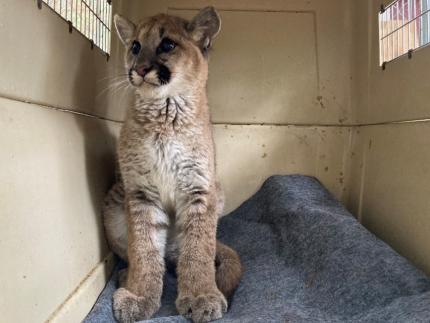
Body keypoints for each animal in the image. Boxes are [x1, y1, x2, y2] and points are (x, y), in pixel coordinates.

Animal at [101, 7, 242, 323]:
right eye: (135, 46)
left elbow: (198, 249)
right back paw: (127, 276)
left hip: (218, 191)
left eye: (167, 45)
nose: (140, 69)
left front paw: (202, 295)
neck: (165, 112)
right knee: (151, 256)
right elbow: (144, 249)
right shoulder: (140, 192)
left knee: (181, 254)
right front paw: (139, 295)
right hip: (114, 202)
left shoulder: (199, 190)